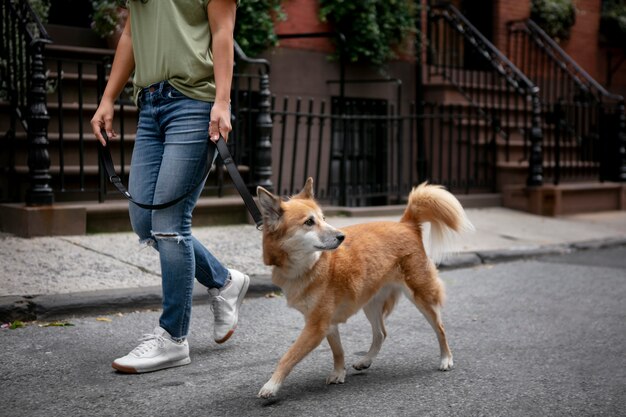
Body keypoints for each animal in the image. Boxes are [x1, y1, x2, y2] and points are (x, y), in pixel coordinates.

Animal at [256, 177, 470, 398]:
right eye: (309, 222)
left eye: (323, 218)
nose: (341, 237)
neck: (308, 265)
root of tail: (406, 224)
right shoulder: (326, 323)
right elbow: (338, 351)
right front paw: (339, 373)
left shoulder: (316, 326)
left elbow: (288, 356)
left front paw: (272, 385)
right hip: (371, 303)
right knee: (381, 334)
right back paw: (366, 360)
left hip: (421, 296)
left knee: (440, 328)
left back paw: (446, 358)